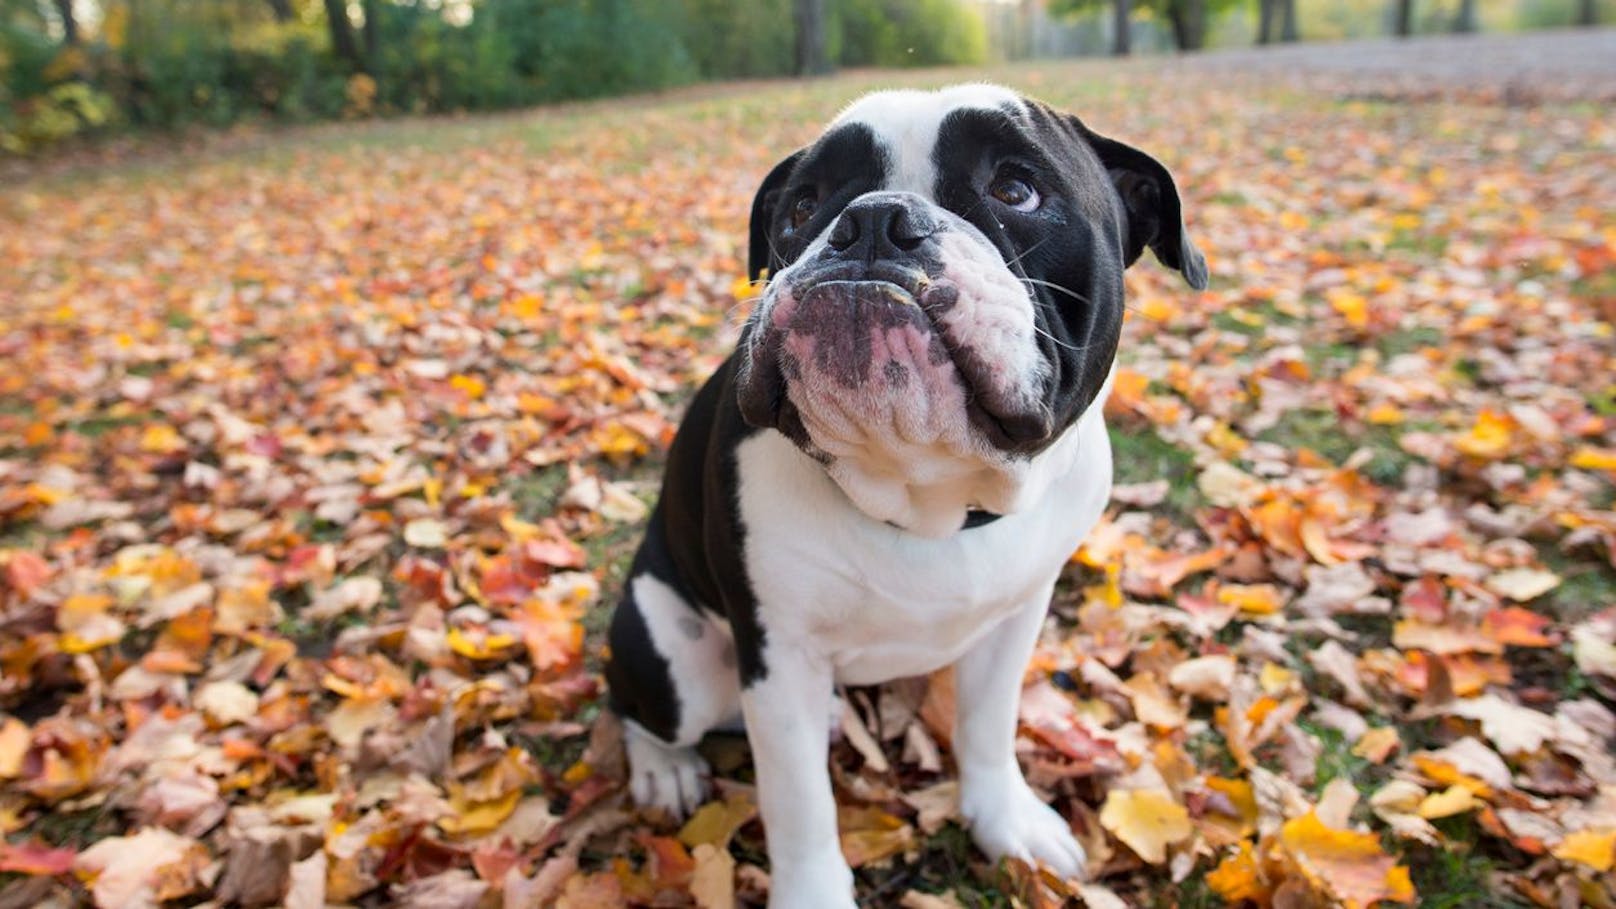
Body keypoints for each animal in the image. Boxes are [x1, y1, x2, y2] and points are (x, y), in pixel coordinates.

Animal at [604, 86, 1202, 905]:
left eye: (1016, 190)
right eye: (804, 206)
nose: (873, 221)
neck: (929, 491)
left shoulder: (1015, 620)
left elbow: (988, 724)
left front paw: (1005, 819)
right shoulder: (778, 655)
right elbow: (799, 802)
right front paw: (813, 894)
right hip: (675, 658)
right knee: (639, 709)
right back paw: (664, 770)